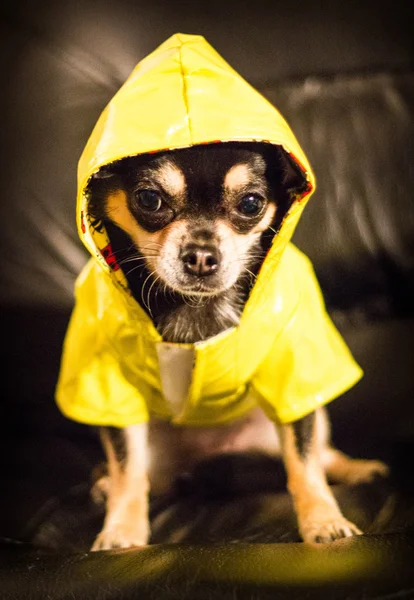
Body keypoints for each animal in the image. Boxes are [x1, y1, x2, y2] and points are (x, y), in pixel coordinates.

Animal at [82, 143, 390, 552]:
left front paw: (324, 521)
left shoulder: (292, 380)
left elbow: (304, 463)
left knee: (321, 454)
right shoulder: (114, 394)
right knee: (149, 475)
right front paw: (122, 532)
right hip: (158, 450)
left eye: (250, 203)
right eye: (149, 199)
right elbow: (127, 469)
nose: (200, 255)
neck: (196, 307)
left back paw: (357, 469)